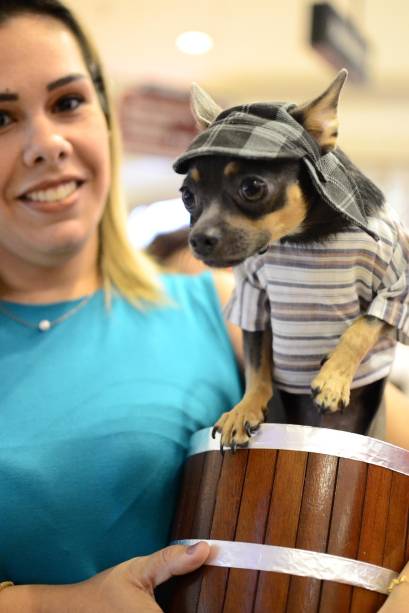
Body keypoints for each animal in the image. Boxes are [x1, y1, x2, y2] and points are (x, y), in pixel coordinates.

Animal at [173, 70, 408, 450]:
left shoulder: (396, 288)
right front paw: (244, 408)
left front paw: (332, 378)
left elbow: (363, 327)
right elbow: (257, 365)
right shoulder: (255, 299)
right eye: (187, 196)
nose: (198, 240)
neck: (305, 236)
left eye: (252, 188)